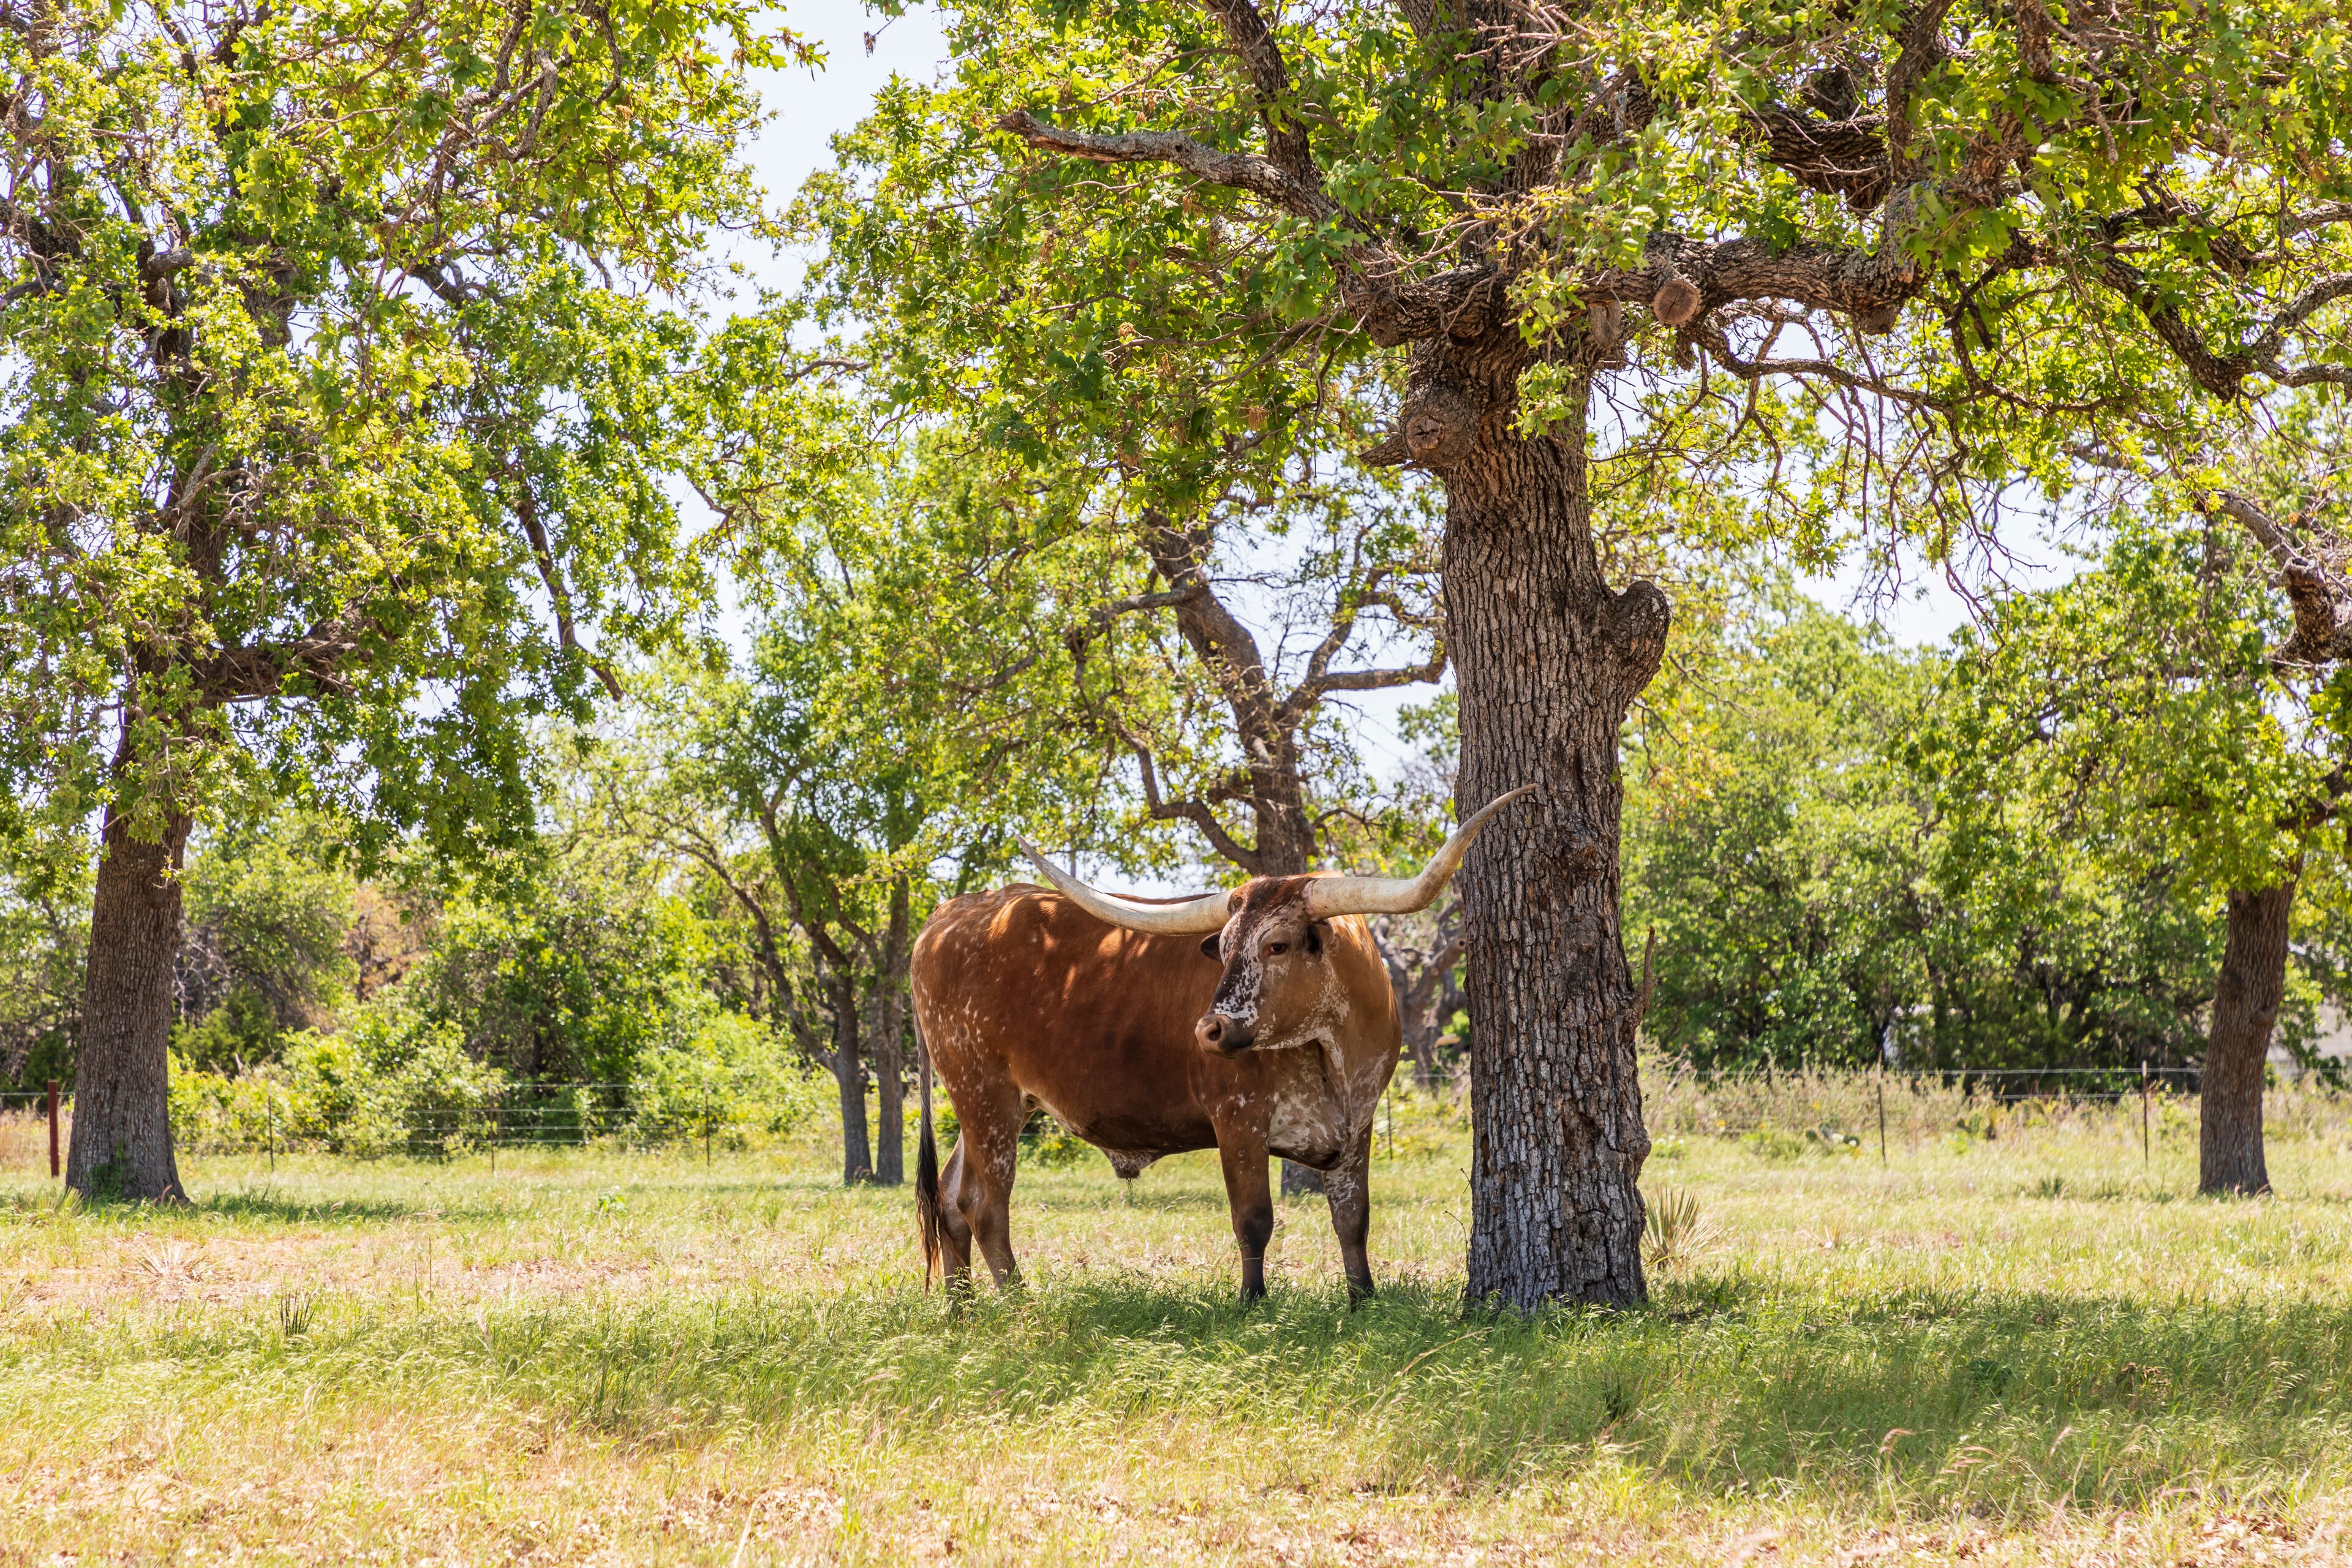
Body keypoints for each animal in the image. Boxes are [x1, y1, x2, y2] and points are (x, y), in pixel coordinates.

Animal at [910, 788, 1533, 1302]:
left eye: (1277, 945)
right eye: (1225, 947)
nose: (1208, 1029)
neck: (1330, 1052)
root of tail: (949, 914)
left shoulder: (1358, 1124)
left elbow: (1353, 1219)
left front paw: (1364, 1301)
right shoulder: (1238, 1119)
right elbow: (1254, 1219)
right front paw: (1252, 1303)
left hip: (1001, 1103)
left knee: (951, 1199)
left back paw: (962, 1311)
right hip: (984, 1094)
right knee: (984, 1205)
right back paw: (1020, 1305)